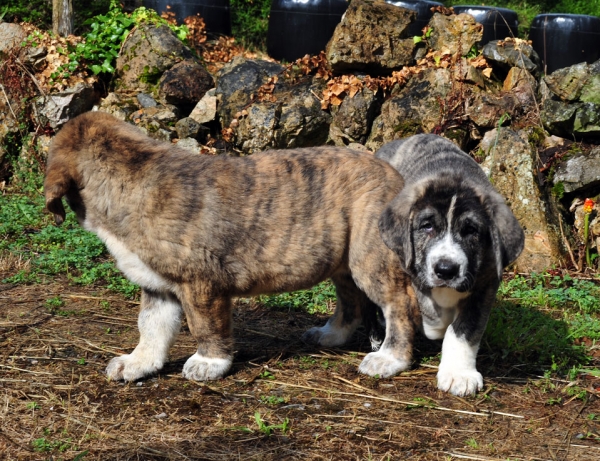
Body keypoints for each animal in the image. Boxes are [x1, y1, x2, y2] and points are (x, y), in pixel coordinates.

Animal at [44, 110, 422, 380]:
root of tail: (395, 175)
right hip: (343, 262)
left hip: (371, 257)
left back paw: (389, 360)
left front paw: (209, 363)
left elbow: (204, 325)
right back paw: (331, 335)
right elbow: (151, 327)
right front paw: (138, 363)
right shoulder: (159, 286)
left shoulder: (201, 283)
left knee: (399, 306)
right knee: (352, 301)